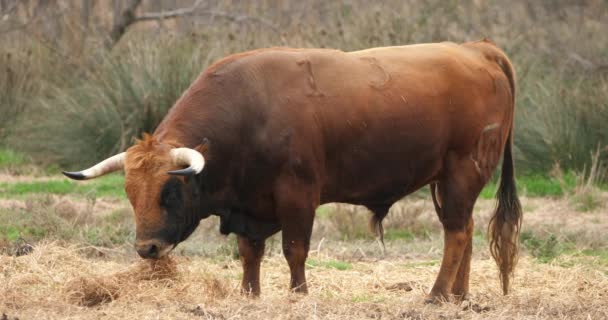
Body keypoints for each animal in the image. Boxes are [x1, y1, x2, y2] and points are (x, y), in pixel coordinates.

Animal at [65, 38, 524, 302]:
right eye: (129, 192)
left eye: (170, 192)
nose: (147, 249)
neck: (249, 112)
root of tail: (476, 48)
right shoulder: (251, 203)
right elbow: (250, 252)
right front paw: (249, 295)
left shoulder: (298, 194)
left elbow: (294, 249)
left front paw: (298, 295)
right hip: (447, 181)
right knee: (462, 230)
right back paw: (458, 296)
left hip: (462, 172)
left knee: (457, 233)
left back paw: (436, 294)